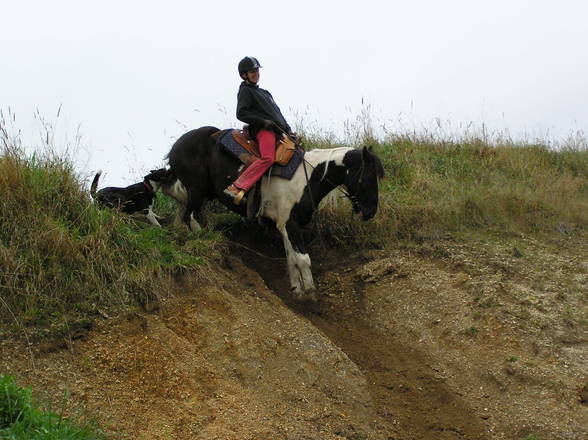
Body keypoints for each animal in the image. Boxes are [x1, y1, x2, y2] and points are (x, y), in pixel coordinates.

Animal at [165, 125, 386, 300]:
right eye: (369, 176)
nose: (370, 212)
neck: (308, 177)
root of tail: (176, 146)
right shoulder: (290, 224)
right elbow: (303, 259)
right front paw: (311, 294)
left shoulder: (283, 225)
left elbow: (291, 259)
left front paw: (297, 290)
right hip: (196, 188)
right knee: (190, 216)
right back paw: (203, 238)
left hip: (203, 192)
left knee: (184, 212)